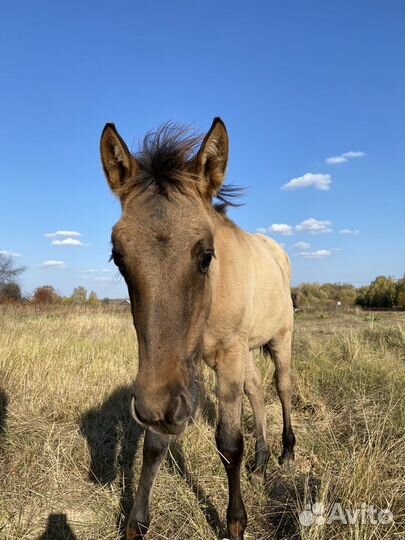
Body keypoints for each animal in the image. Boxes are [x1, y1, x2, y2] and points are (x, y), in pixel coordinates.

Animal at [99, 118, 296, 540]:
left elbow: (229, 441)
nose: (154, 409)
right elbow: (155, 443)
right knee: (256, 390)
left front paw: (235, 522)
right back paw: (261, 462)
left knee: (282, 387)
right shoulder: (169, 375)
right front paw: (136, 523)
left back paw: (287, 452)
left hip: (279, 339)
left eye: (206, 255)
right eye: (118, 257)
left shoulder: (226, 354)